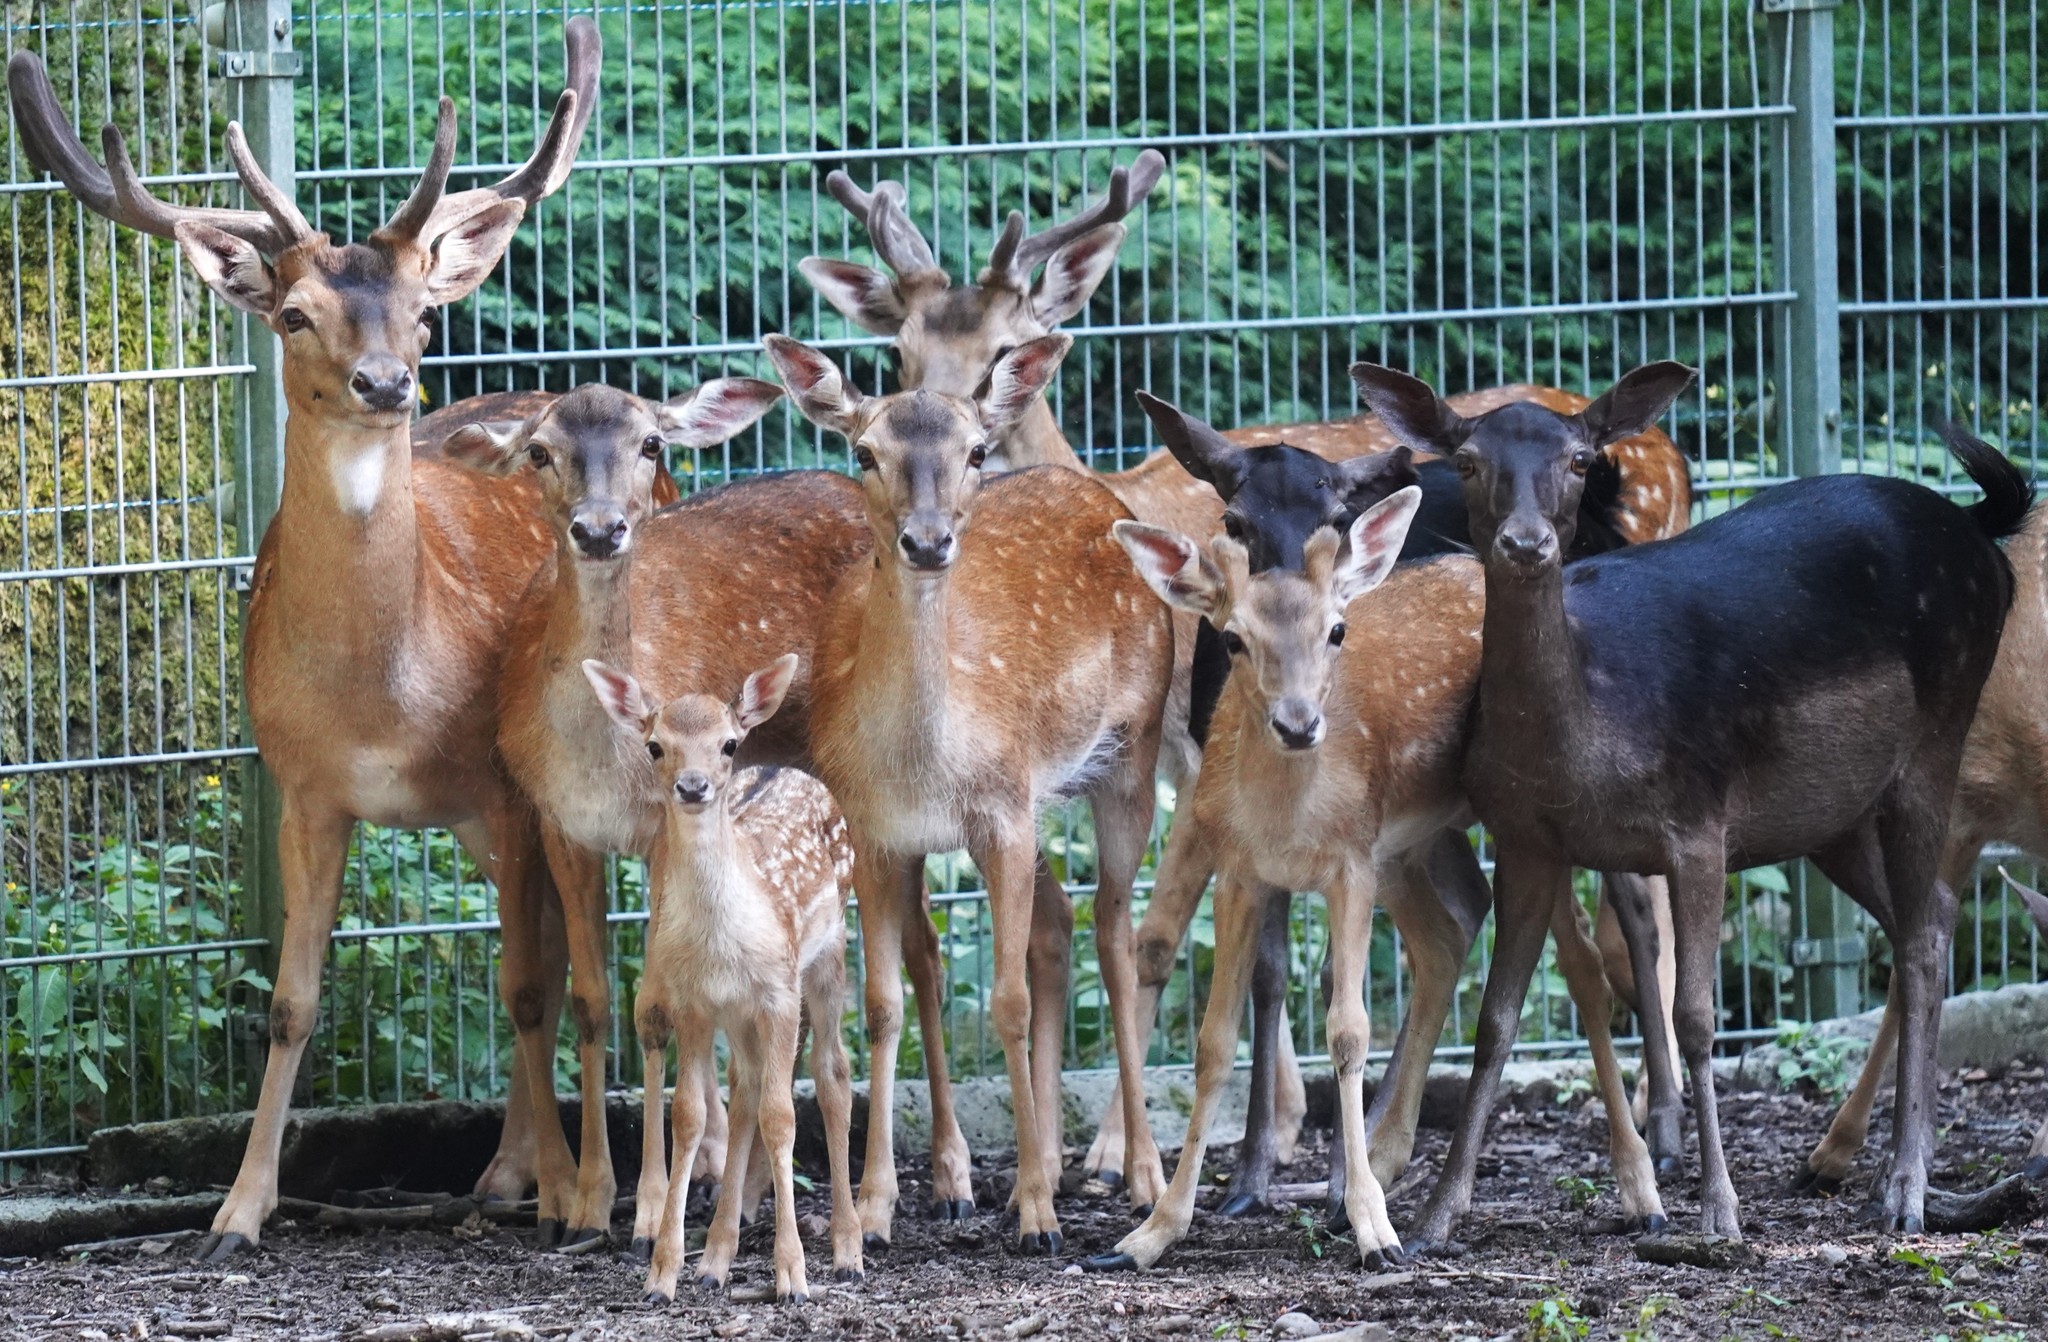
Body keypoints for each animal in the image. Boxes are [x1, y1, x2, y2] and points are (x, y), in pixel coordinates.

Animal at [6, 23, 598, 1262]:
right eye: (292, 315)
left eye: (424, 313)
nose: (385, 381)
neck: (381, 703)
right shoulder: (303, 784)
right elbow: (289, 1002)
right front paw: (237, 1211)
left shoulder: (508, 783)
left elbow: (528, 985)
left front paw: (572, 1195)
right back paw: (503, 1168)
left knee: (574, 943)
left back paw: (568, 1175)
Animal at [770, 329, 1179, 1253]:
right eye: (864, 451)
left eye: (976, 452)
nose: (927, 541)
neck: (924, 760)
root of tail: (1094, 486)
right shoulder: (876, 831)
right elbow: (882, 1004)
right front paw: (878, 1208)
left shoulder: (1002, 811)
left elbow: (1008, 1002)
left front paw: (1033, 1214)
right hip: (1043, 799)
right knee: (1059, 924)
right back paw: (1056, 1165)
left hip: (1128, 756)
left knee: (1115, 933)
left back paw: (1136, 1173)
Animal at [806, 154, 1687, 1196]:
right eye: (899, 351)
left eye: (1007, 349)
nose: (957, 423)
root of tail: (1662, 457)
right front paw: (1237, 1138)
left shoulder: (1181, 752)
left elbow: (1166, 934)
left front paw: (1126, 1152)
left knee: (1631, 894)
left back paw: (1660, 1121)